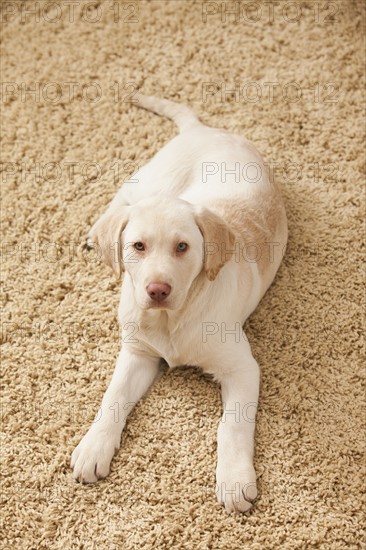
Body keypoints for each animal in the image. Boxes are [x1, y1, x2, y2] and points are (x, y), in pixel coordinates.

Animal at [71, 94, 288, 512]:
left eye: (182, 247)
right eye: (138, 246)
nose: (157, 289)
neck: (170, 318)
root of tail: (203, 129)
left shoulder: (242, 369)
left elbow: (232, 425)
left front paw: (234, 478)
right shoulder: (137, 352)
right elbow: (113, 397)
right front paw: (93, 446)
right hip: (152, 178)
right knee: (124, 196)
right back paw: (97, 230)